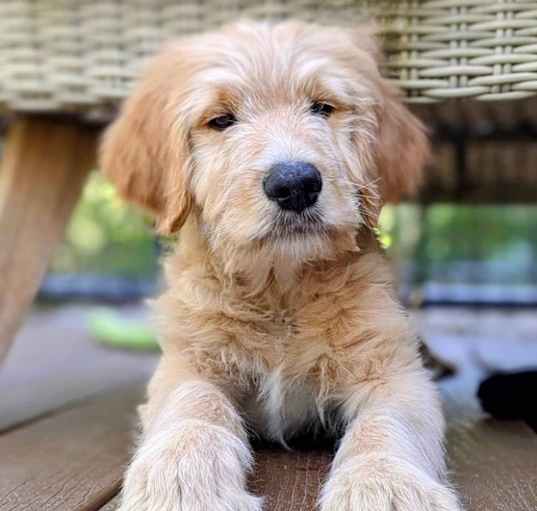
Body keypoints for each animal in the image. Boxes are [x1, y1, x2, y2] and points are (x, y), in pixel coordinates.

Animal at [99, 20, 460, 511]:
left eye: (323, 108)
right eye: (221, 120)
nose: (295, 184)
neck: (280, 288)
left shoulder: (392, 369)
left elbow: (387, 424)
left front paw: (384, 484)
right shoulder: (188, 361)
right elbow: (194, 405)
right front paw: (183, 480)